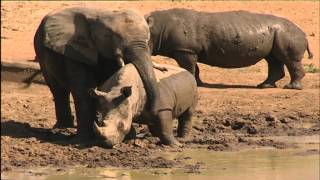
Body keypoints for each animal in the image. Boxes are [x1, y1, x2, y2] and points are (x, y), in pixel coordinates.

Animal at [33, 7, 160, 141]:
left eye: (148, 38)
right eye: (110, 35)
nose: (152, 116)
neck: (100, 15)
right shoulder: (74, 49)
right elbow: (83, 89)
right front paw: (84, 139)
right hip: (40, 50)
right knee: (58, 90)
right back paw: (63, 127)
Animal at [146, 8, 314, 89]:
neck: (155, 27)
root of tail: (304, 34)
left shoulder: (185, 49)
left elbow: (189, 67)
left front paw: (194, 84)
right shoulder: (189, 50)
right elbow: (196, 68)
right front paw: (199, 84)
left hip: (286, 33)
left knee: (288, 60)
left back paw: (291, 87)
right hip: (277, 33)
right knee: (273, 59)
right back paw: (264, 86)